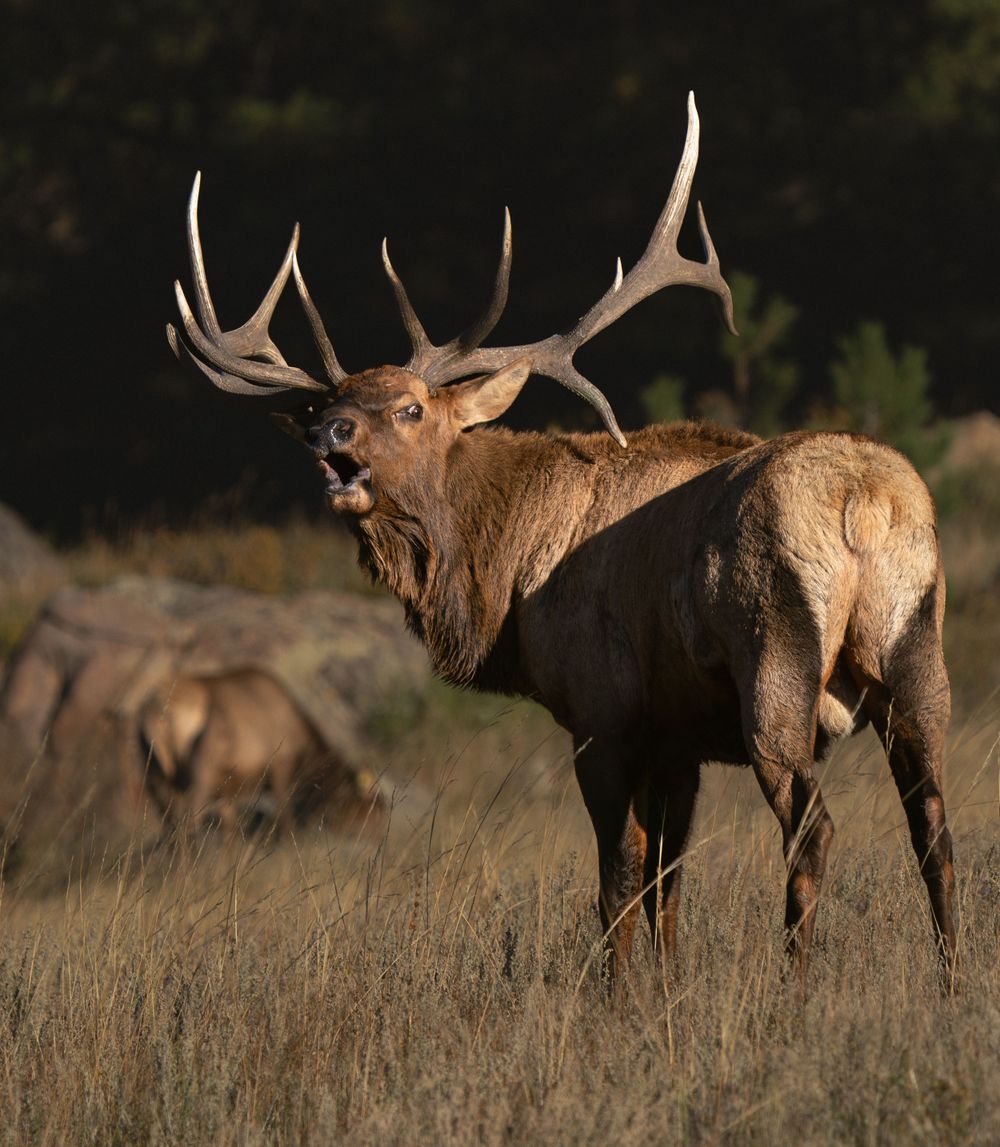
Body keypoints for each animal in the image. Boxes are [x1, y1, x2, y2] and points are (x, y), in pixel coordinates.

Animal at [167, 93, 956, 988]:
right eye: (331, 403)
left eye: (410, 407)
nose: (327, 433)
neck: (505, 586)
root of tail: (864, 502)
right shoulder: (675, 736)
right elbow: (667, 880)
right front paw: (666, 986)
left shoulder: (601, 712)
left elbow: (617, 877)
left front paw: (616, 994)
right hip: (916, 655)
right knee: (935, 827)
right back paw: (952, 977)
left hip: (775, 662)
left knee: (814, 826)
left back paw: (795, 984)